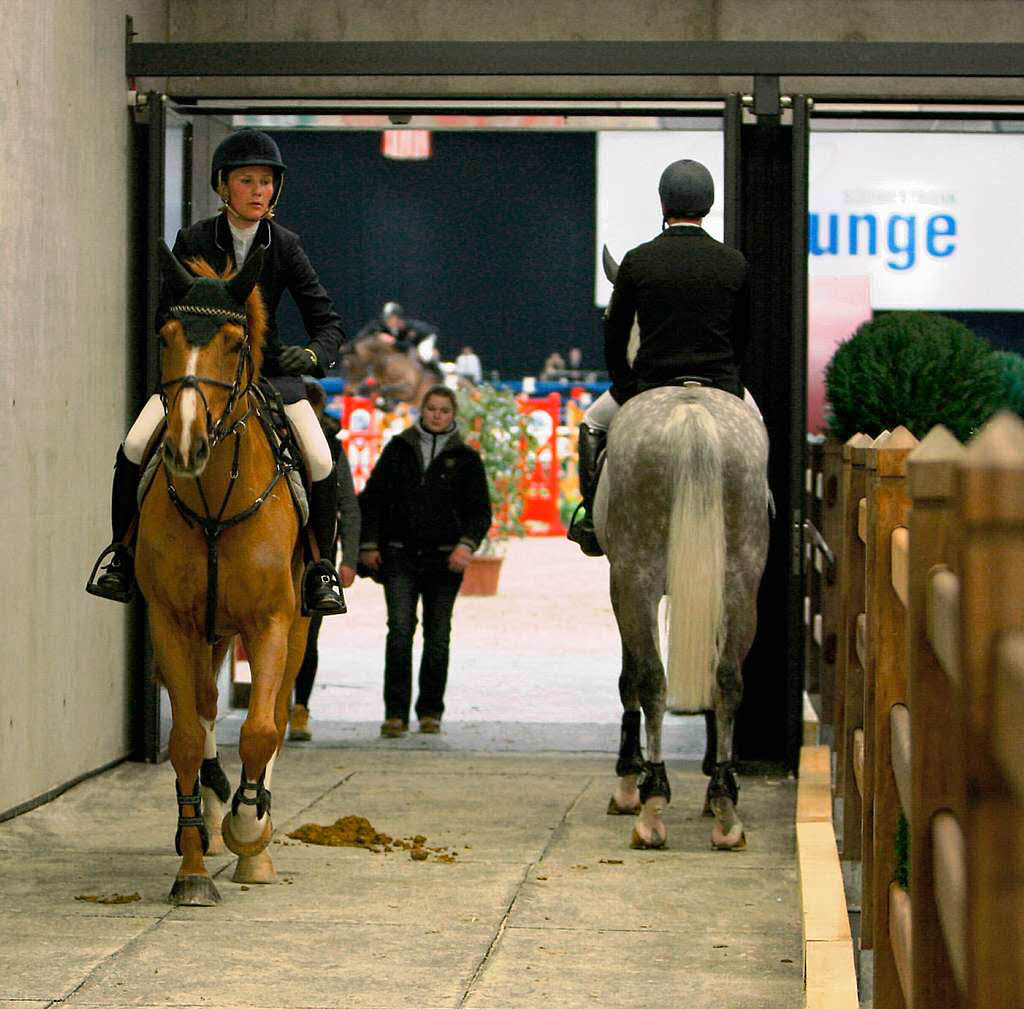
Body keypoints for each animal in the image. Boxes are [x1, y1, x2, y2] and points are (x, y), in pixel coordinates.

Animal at [138, 243, 309, 905]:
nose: (185, 447)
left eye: (235, 345)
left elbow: (261, 729)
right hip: (206, 633)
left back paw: (252, 835)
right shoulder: (170, 622)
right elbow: (187, 737)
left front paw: (248, 830)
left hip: (299, 624)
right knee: (208, 706)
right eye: (165, 338)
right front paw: (191, 869)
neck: (213, 503)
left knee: (278, 715)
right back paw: (210, 814)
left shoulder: (272, 621)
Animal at [598, 309, 770, 852]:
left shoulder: (620, 583)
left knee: (652, 678)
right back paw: (725, 808)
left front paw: (626, 782)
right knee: (729, 677)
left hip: (636, 579)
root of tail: (692, 412)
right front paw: (716, 776)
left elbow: (630, 676)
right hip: (739, 583)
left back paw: (651, 805)